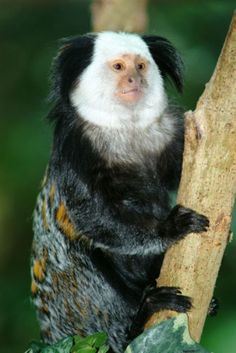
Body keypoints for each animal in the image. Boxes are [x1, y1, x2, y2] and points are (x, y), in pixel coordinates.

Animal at [30, 31, 208, 350]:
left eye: (140, 65)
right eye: (118, 67)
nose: (134, 79)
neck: (126, 130)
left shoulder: (170, 131)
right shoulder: (74, 148)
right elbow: (94, 218)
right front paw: (169, 227)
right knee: (80, 261)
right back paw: (139, 319)